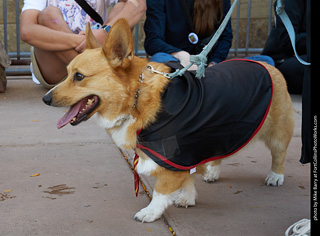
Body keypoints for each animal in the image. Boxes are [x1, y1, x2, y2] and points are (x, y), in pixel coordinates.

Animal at [43, 18, 296, 223]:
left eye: (79, 77)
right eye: (67, 73)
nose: (45, 99)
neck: (136, 97)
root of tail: (265, 63)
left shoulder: (175, 156)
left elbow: (161, 191)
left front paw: (151, 212)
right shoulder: (187, 154)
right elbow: (188, 179)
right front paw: (188, 197)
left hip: (277, 132)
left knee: (279, 154)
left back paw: (275, 176)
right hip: (222, 131)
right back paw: (213, 172)